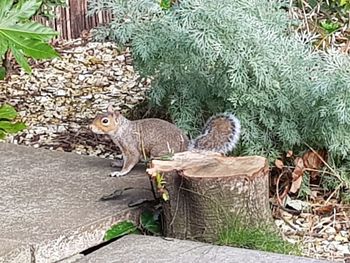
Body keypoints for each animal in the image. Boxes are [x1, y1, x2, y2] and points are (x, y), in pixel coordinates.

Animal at [89, 105, 241, 177]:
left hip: (159, 151)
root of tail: (186, 147)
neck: (121, 130)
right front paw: (118, 164)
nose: (90, 127)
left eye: (105, 121)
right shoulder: (123, 148)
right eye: (97, 115)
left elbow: (131, 160)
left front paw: (120, 173)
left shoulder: (130, 145)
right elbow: (125, 159)